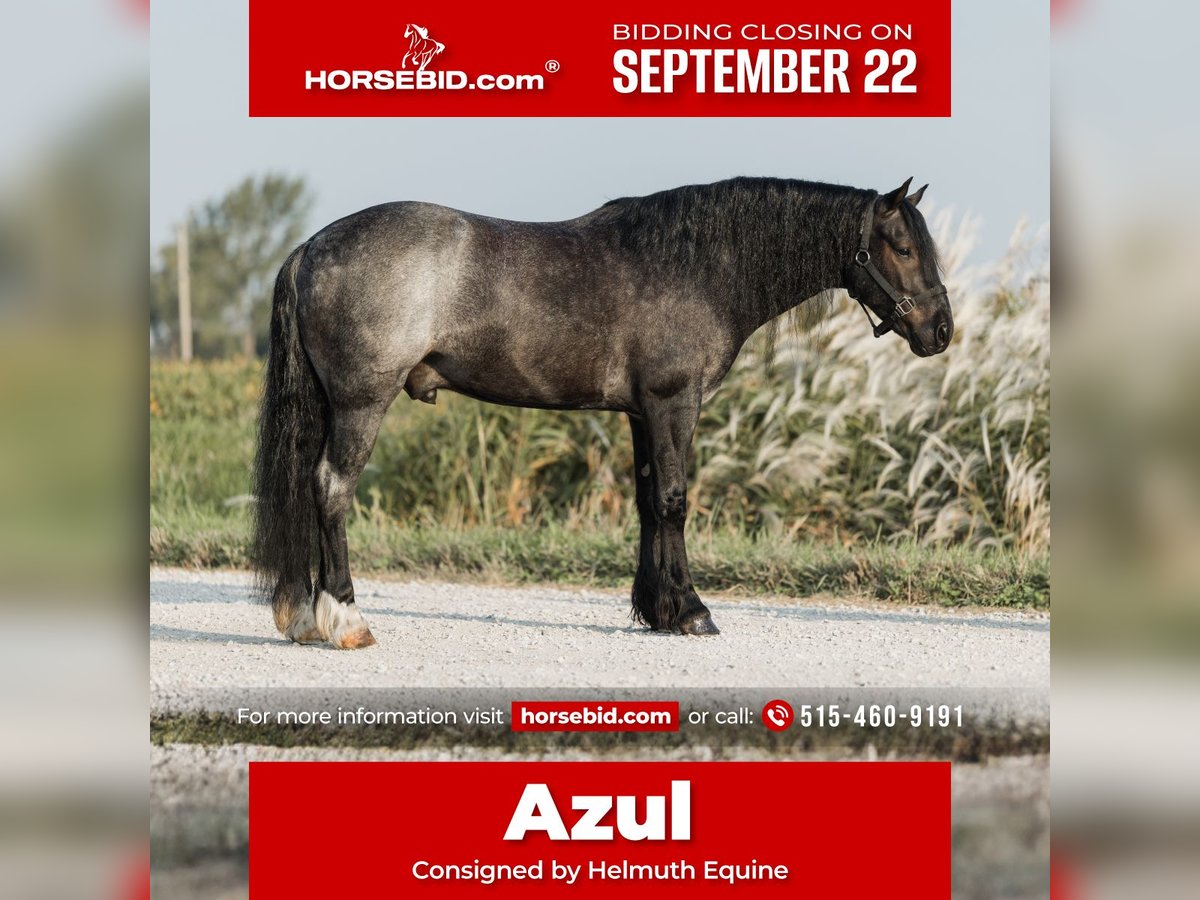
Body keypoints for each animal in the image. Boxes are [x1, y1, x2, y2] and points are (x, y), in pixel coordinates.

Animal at [252, 177, 953, 649]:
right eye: (901, 246)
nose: (941, 330)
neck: (699, 266)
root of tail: (311, 247)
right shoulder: (674, 404)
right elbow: (674, 500)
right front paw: (691, 610)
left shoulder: (643, 414)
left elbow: (648, 503)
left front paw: (658, 610)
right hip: (360, 403)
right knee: (331, 488)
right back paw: (346, 618)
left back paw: (305, 616)